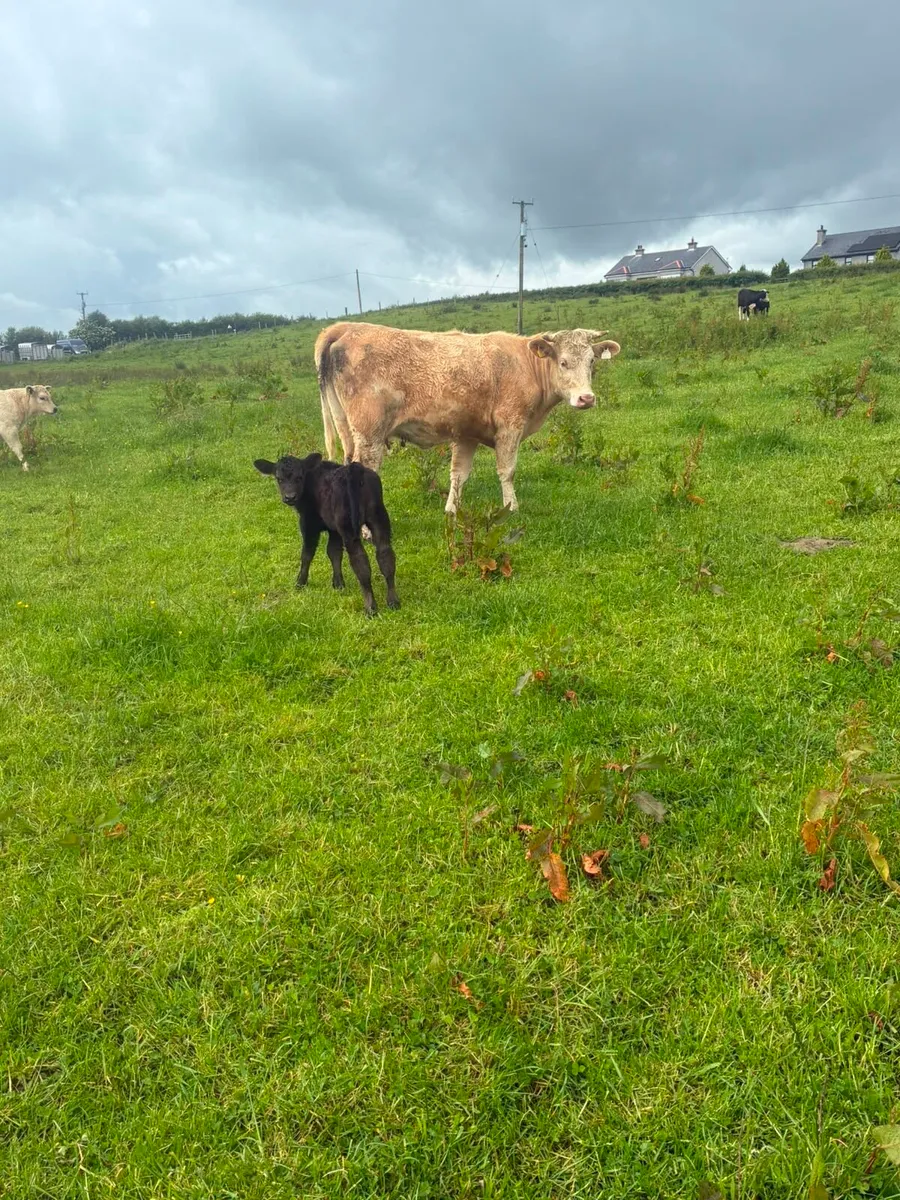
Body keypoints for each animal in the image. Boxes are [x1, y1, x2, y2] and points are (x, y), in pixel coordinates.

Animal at [254, 452, 399, 617]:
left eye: (299, 477)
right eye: (279, 479)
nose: (290, 497)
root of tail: (354, 469)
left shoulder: (308, 523)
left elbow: (307, 554)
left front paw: (300, 582)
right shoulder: (334, 530)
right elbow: (334, 552)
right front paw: (338, 584)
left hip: (348, 526)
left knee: (360, 562)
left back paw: (371, 608)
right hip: (378, 517)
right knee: (385, 554)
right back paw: (393, 601)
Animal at [314, 323, 621, 514]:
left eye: (592, 362)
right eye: (563, 362)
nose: (586, 398)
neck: (526, 364)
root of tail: (345, 327)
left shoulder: (466, 433)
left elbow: (459, 474)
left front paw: (452, 509)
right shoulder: (510, 425)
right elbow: (507, 470)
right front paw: (511, 507)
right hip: (370, 434)